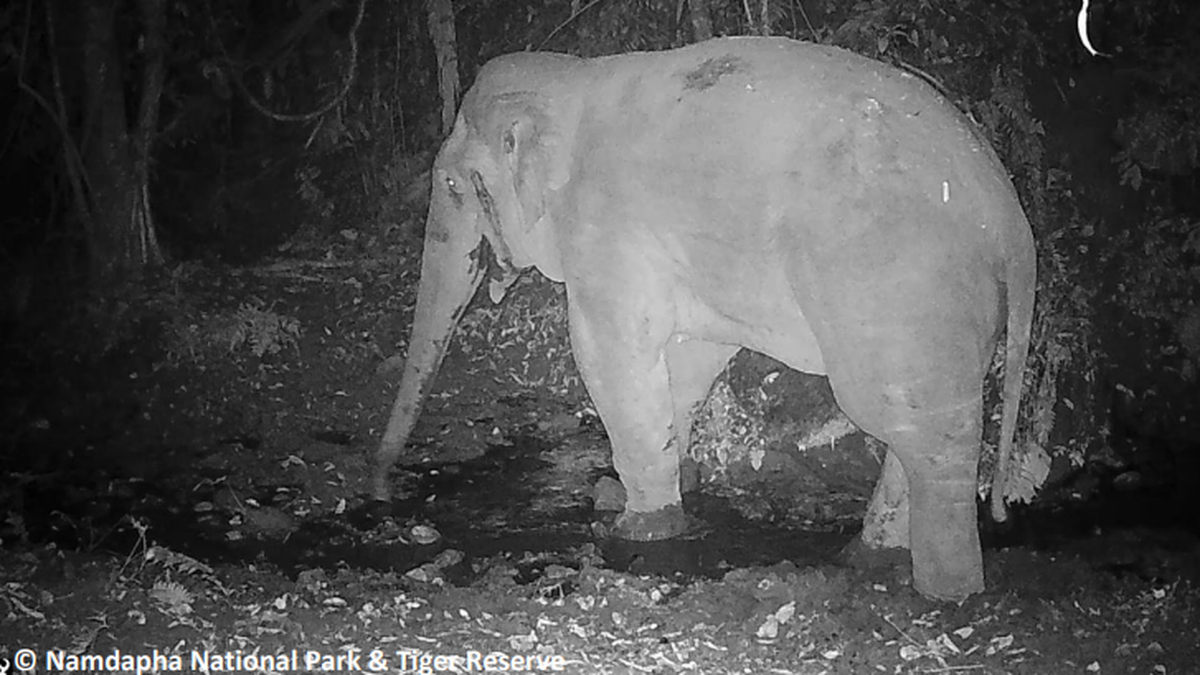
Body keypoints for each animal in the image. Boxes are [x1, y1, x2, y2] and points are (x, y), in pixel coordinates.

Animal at [369, 35, 1036, 598]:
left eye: (452, 185)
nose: (377, 488)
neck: (572, 80)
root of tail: (1014, 226)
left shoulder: (606, 230)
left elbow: (610, 354)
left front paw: (638, 527)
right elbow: (690, 357)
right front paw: (628, 493)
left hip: (896, 291)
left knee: (922, 429)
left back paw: (945, 591)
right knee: (915, 419)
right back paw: (873, 558)